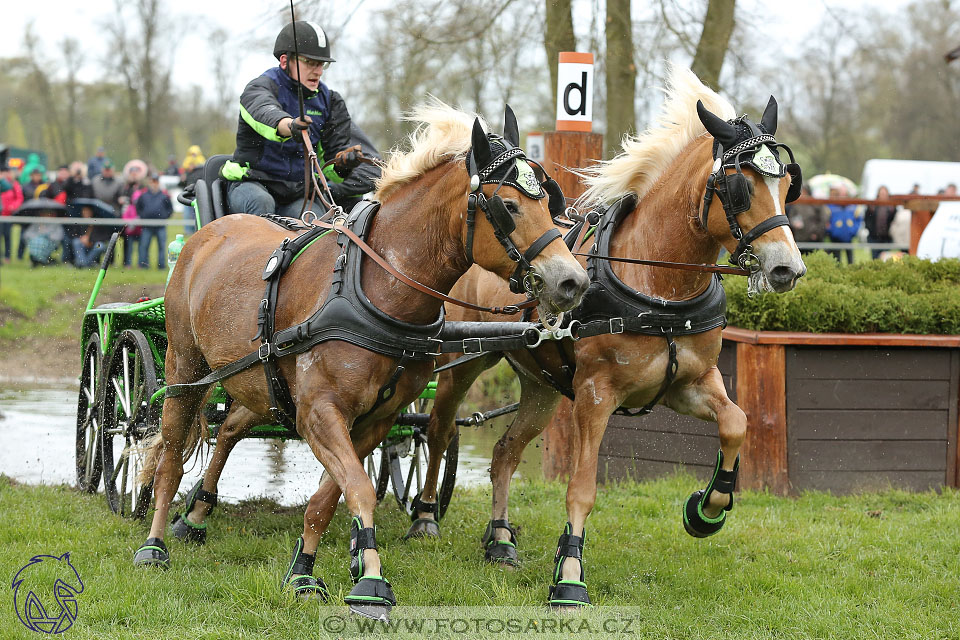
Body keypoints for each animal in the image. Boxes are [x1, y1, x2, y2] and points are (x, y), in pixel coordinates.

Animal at [133, 102, 584, 616]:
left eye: (549, 201)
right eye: (508, 206)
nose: (572, 281)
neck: (376, 287)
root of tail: (206, 234)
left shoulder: (374, 419)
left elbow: (331, 496)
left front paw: (303, 571)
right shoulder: (319, 412)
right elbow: (357, 488)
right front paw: (370, 579)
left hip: (259, 384)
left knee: (228, 429)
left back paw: (197, 514)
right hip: (184, 369)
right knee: (169, 457)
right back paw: (154, 544)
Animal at [408, 67, 808, 608]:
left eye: (787, 182)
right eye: (740, 186)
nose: (788, 268)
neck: (658, 289)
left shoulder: (689, 383)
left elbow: (736, 422)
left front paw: (708, 508)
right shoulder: (595, 396)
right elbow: (581, 488)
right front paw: (569, 574)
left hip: (541, 387)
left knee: (505, 453)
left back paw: (500, 540)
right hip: (465, 362)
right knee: (438, 430)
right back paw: (425, 516)